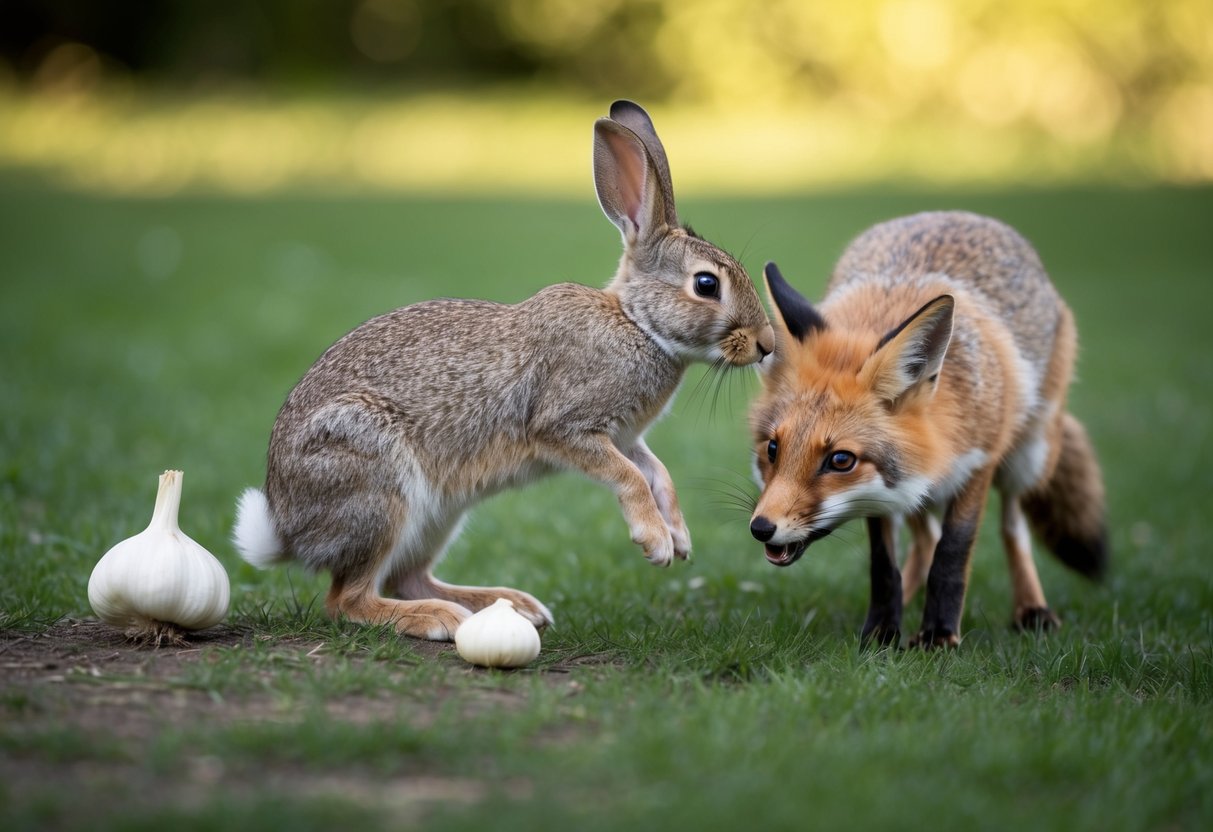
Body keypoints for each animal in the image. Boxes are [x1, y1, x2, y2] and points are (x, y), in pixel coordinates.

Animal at [233, 100, 775, 641]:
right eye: (706, 285)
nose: (767, 345)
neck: (636, 323)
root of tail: (287, 530)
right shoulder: (567, 427)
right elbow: (629, 477)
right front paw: (656, 543)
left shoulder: (624, 436)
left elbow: (657, 472)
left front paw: (679, 537)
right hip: (374, 482)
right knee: (348, 598)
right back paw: (437, 619)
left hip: (439, 514)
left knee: (408, 576)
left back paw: (506, 605)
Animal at [748, 211, 1107, 647]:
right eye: (772, 449)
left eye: (840, 460)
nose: (761, 528)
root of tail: (958, 214)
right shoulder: (887, 494)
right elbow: (885, 566)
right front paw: (882, 631)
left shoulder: (978, 464)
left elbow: (952, 554)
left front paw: (938, 635)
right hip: (918, 490)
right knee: (925, 541)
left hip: (1028, 458)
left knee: (1012, 527)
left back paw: (1031, 608)